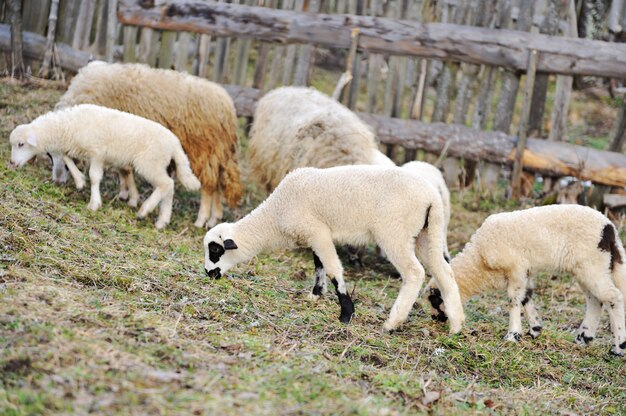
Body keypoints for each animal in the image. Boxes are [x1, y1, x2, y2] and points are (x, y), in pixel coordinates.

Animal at [9, 103, 200, 229]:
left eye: (21, 144)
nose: (12, 163)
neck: (67, 126)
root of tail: (175, 143)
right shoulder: (78, 148)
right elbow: (67, 157)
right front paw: (79, 181)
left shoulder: (97, 153)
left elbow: (95, 177)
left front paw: (94, 203)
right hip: (163, 166)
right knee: (169, 190)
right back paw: (162, 221)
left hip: (151, 163)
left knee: (166, 184)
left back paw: (144, 210)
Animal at [53, 61, 241, 229]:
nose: (57, 181)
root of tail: (228, 107)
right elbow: (125, 169)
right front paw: (126, 194)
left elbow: (125, 169)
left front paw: (131, 198)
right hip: (216, 153)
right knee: (217, 185)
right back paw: (213, 219)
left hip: (202, 150)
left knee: (208, 187)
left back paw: (200, 220)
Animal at [201, 164, 464, 334]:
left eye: (215, 250)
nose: (208, 273)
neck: (275, 216)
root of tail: (432, 196)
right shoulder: (315, 232)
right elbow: (318, 264)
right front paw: (315, 294)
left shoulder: (317, 231)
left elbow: (332, 268)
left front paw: (346, 313)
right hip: (427, 233)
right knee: (445, 272)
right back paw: (456, 325)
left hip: (395, 232)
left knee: (414, 273)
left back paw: (392, 323)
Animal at [424, 203, 624, 356]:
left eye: (435, 300)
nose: (434, 319)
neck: (479, 260)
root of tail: (609, 229)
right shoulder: (525, 271)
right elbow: (526, 296)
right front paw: (535, 329)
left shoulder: (516, 269)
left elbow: (513, 300)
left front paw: (513, 335)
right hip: (587, 268)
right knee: (595, 300)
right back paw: (583, 338)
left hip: (592, 264)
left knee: (613, 297)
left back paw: (618, 348)